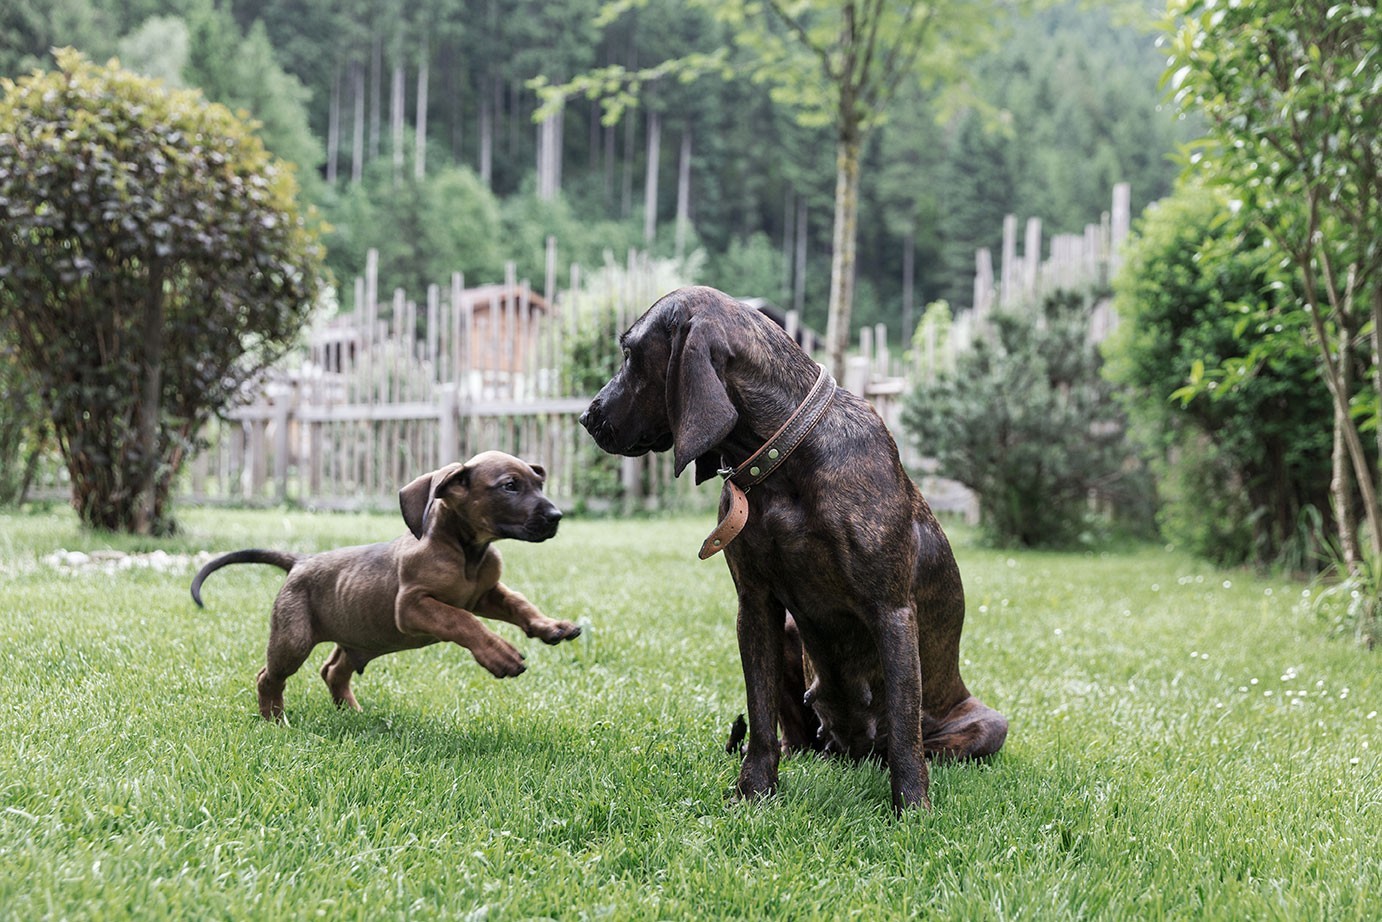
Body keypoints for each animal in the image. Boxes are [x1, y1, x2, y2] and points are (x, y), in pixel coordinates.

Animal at [189, 450, 577, 724]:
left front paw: (550, 626)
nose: (557, 517)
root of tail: (300, 560)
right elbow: (463, 621)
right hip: (292, 641)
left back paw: (351, 712)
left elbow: (519, 603)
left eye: (539, 484)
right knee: (268, 676)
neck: (466, 551)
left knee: (332, 671)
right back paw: (274, 719)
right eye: (510, 485)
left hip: (359, 636)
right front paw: (499, 654)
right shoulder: (411, 606)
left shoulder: (484, 594)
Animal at [577, 284, 1011, 812]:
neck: (785, 458)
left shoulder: (891, 612)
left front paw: (912, 811)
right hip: (790, 639)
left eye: (629, 353)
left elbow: (906, 733)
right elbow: (760, 717)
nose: (587, 417)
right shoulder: (756, 605)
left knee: (913, 742)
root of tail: (849, 752)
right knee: (799, 739)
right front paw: (753, 794)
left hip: (987, 724)